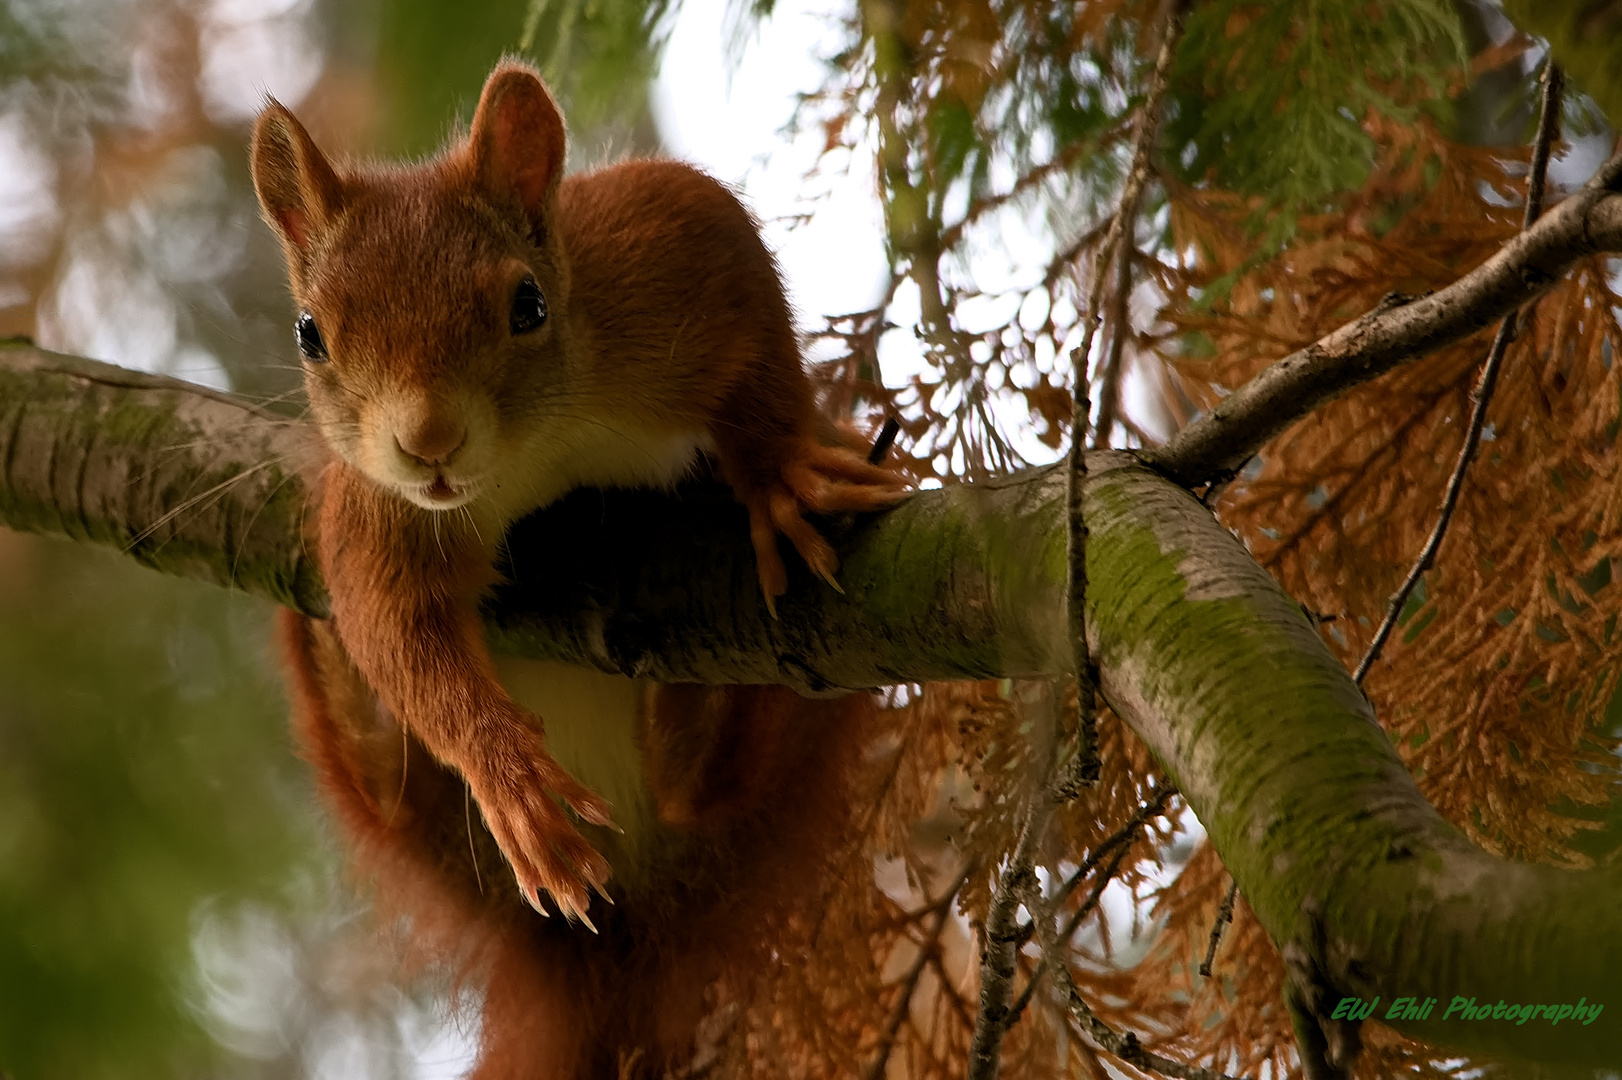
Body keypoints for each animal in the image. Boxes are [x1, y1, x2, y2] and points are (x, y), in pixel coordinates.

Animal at [259, 63, 908, 1070]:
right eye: (310, 333)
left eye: (527, 303)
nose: (427, 445)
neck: (530, 460)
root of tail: (618, 942)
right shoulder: (385, 516)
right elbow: (395, 626)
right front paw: (506, 772)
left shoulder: (652, 259)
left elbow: (737, 283)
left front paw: (778, 469)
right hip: (432, 836)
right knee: (383, 781)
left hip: (777, 767)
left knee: (715, 791)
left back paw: (699, 720)